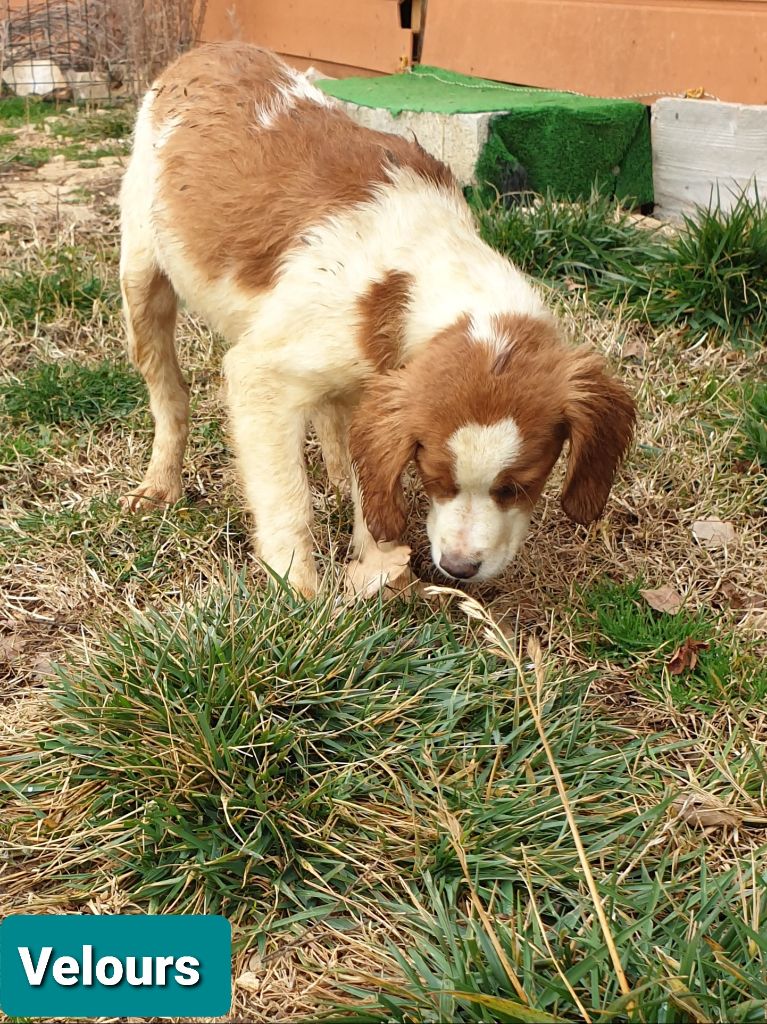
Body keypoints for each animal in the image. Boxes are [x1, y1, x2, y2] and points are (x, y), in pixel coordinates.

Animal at [119, 44, 634, 598]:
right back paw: (160, 486)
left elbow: (370, 469)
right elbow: (288, 499)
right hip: (142, 276)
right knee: (170, 394)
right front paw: (299, 592)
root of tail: (211, 48)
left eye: (520, 485)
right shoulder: (262, 376)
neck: (415, 273)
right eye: (435, 478)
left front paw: (380, 569)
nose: (459, 569)